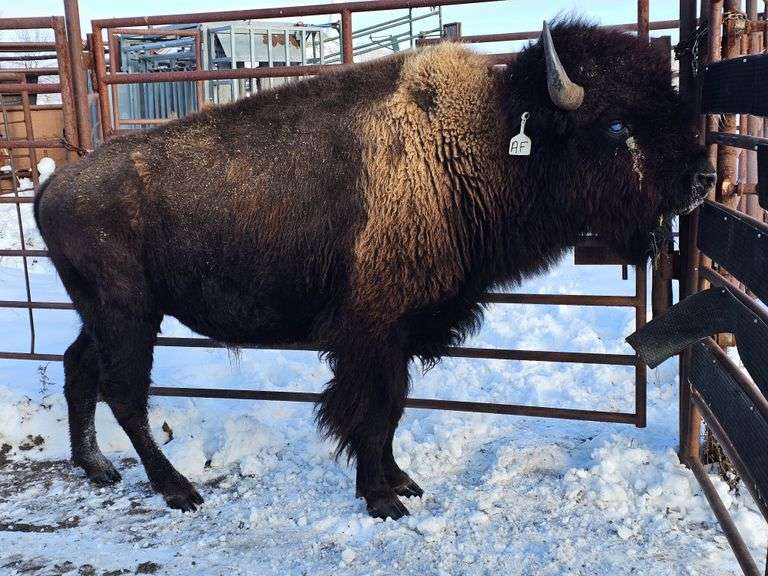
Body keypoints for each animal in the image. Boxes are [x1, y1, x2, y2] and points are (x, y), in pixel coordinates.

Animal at [34, 21, 715, 520]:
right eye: (618, 125)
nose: (702, 180)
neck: (477, 143)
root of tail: (54, 185)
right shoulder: (373, 331)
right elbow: (373, 408)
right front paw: (382, 499)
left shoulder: (405, 330)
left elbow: (393, 410)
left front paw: (401, 481)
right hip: (129, 313)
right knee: (124, 390)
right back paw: (177, 489)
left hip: (101, 314)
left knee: (78, 368)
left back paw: (97, 467)